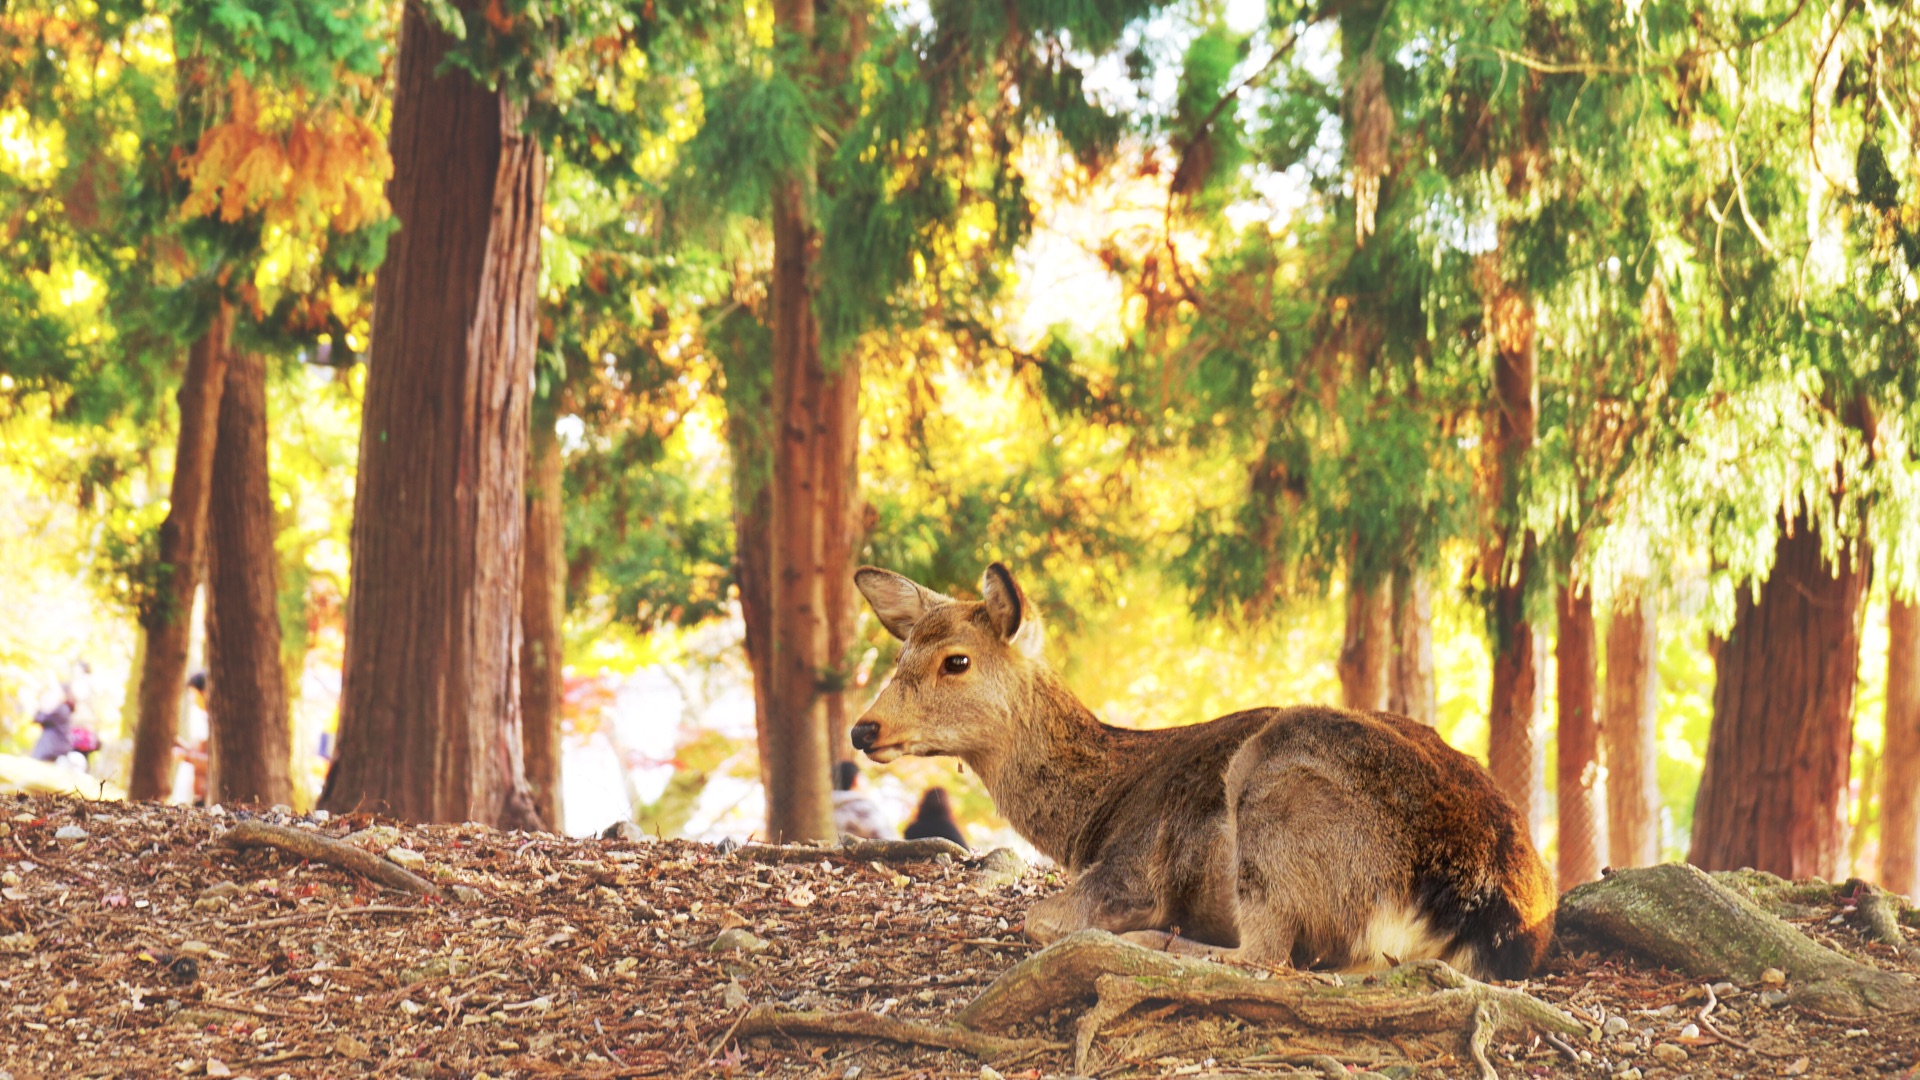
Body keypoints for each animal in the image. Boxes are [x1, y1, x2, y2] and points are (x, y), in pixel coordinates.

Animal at [856, 564, 1559, 976]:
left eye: (956, 660)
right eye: (899, 652)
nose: (865, 728)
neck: (1091, 816)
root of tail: (1486, 908)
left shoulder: (1134, 867)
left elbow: (1042, 918)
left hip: (1274, 786)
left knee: (1269, 958)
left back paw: (1150, 943)